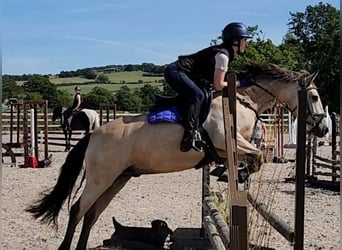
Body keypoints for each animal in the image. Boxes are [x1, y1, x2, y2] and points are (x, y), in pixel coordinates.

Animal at [27, 62, 328, 250]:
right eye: (314, 97)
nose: (324, 128)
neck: (242, 100)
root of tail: (93, 135)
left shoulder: (230, 146)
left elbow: (256, 155)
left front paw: (230, 172)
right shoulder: (226, 140)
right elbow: (259, 156)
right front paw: (235, 172)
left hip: (118, 178)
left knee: (91, 213)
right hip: (101, 178)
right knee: (78, 209)